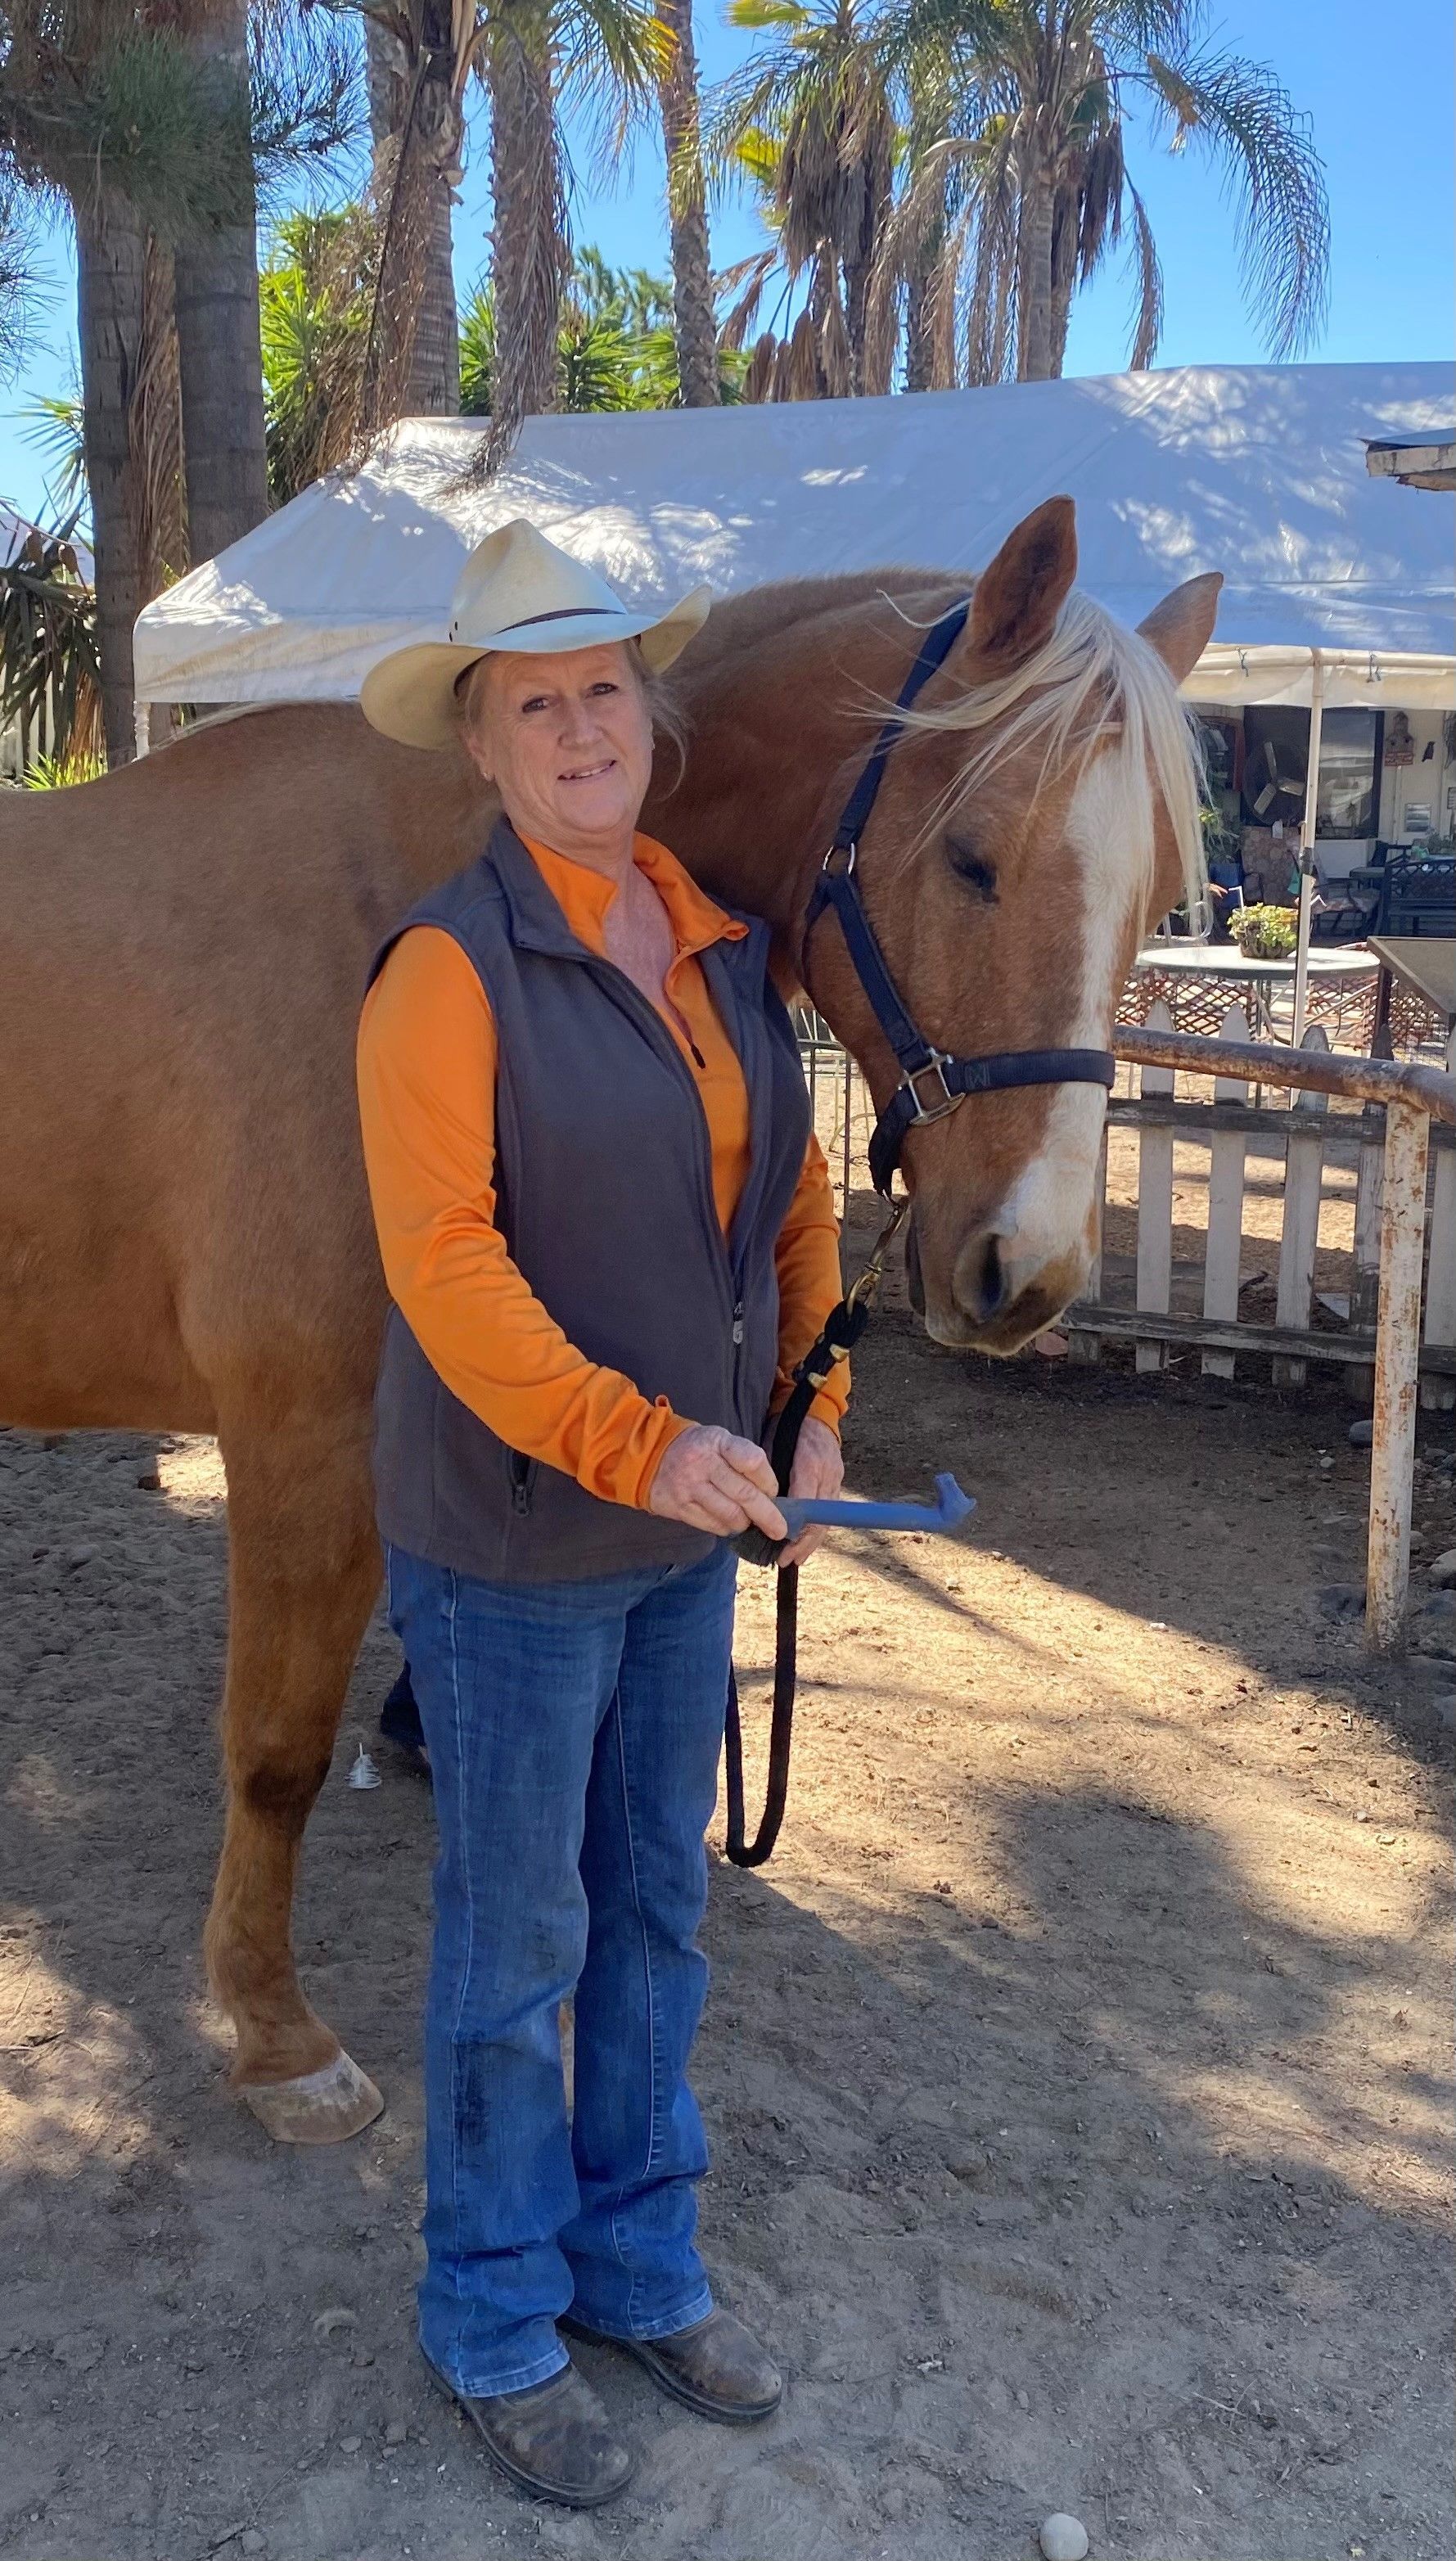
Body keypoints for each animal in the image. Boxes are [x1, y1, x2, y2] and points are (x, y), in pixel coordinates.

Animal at [0, 496, 1219, 2143]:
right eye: (972, 857)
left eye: (1152, 904)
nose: (1022, 1274)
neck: (398, 904)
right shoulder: (302, 1441)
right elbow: (274, 1750)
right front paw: (270, 2030)